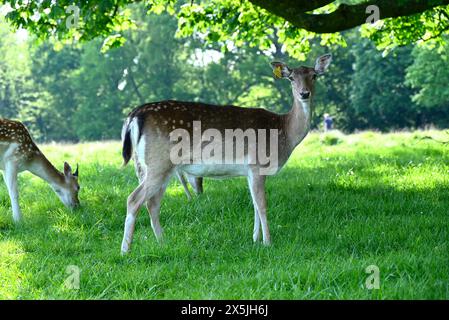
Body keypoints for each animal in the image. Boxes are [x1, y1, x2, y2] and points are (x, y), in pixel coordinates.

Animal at [121, 55, 330, 255]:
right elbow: (262, 204)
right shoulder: (257, 164)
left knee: (152, 203)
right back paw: (125, 251)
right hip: (159, 162)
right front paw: (268, 243)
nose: (304, 93)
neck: (283, 131)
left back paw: (163, 243)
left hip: (153, 167)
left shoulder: (249, 170)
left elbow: (254, 204)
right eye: (291, 78)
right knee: (133, 199)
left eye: (314, 75)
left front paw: (255, 240)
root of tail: (134, 115)